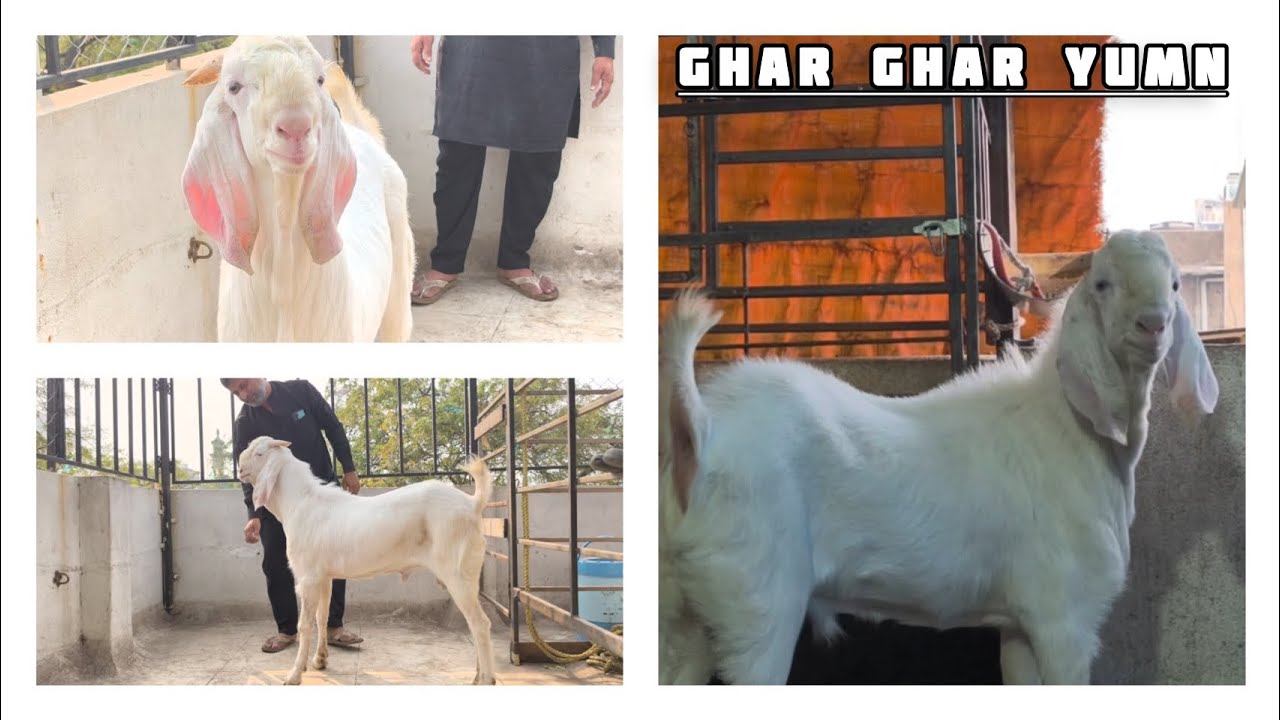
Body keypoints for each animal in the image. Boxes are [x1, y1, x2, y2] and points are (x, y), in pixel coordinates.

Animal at [236, 435, 496, 685]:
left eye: (259, 453)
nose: (239, 466)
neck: (300, 502)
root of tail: (473, 504)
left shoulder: (308, 577)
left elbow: (305, 624)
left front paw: (294, 674)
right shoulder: (323, 576)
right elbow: (321, 617)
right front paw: (320, 660)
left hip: (458, 571)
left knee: (480, 624)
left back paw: (486, 679)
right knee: (474, 624)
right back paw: (477, 676)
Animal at [658, 229, 1219, 685]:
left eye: (1174, 285)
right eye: (1103, 284)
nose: (1153, 324)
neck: (1073, 428)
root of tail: (705, 431)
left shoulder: (1020, 625)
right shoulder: (1065, 615)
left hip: (682, 612)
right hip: (757, 596)